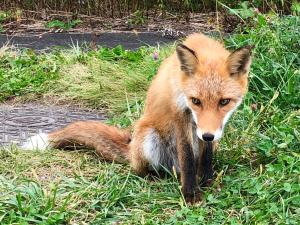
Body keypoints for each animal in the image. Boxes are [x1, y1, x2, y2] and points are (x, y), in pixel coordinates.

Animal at [22, 33, 252, 204]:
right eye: (196, 101)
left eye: (224, 102)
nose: (208, 135)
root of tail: (130, 148)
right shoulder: (181, 114)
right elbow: (187, 158)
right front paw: (190, 194)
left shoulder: (209, 130)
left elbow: (206, 157)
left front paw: (207, 182)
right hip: (149, 137)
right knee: (146, 169)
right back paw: (155, 177)